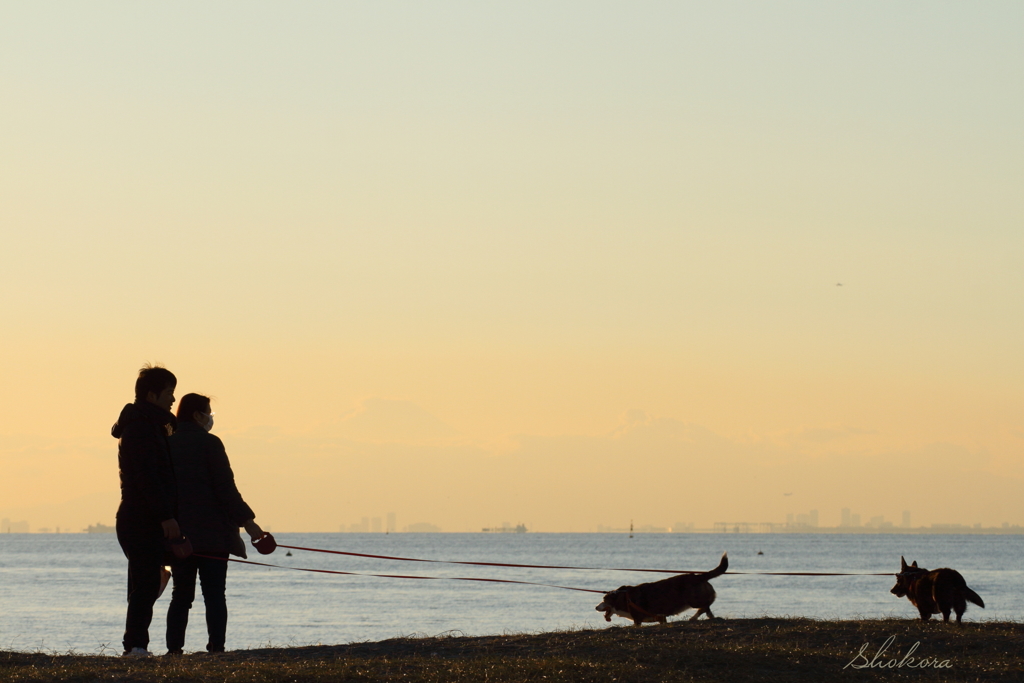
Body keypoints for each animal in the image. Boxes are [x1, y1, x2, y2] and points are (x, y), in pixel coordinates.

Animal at [593, 552, 729, 626]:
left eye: (604, 600)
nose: (595, 607)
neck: (623, 598)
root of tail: (699, 576)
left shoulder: (637, 620)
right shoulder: (661, 618)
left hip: (693, 600)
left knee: (704, 606)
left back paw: (694, 618)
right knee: (707, 609)